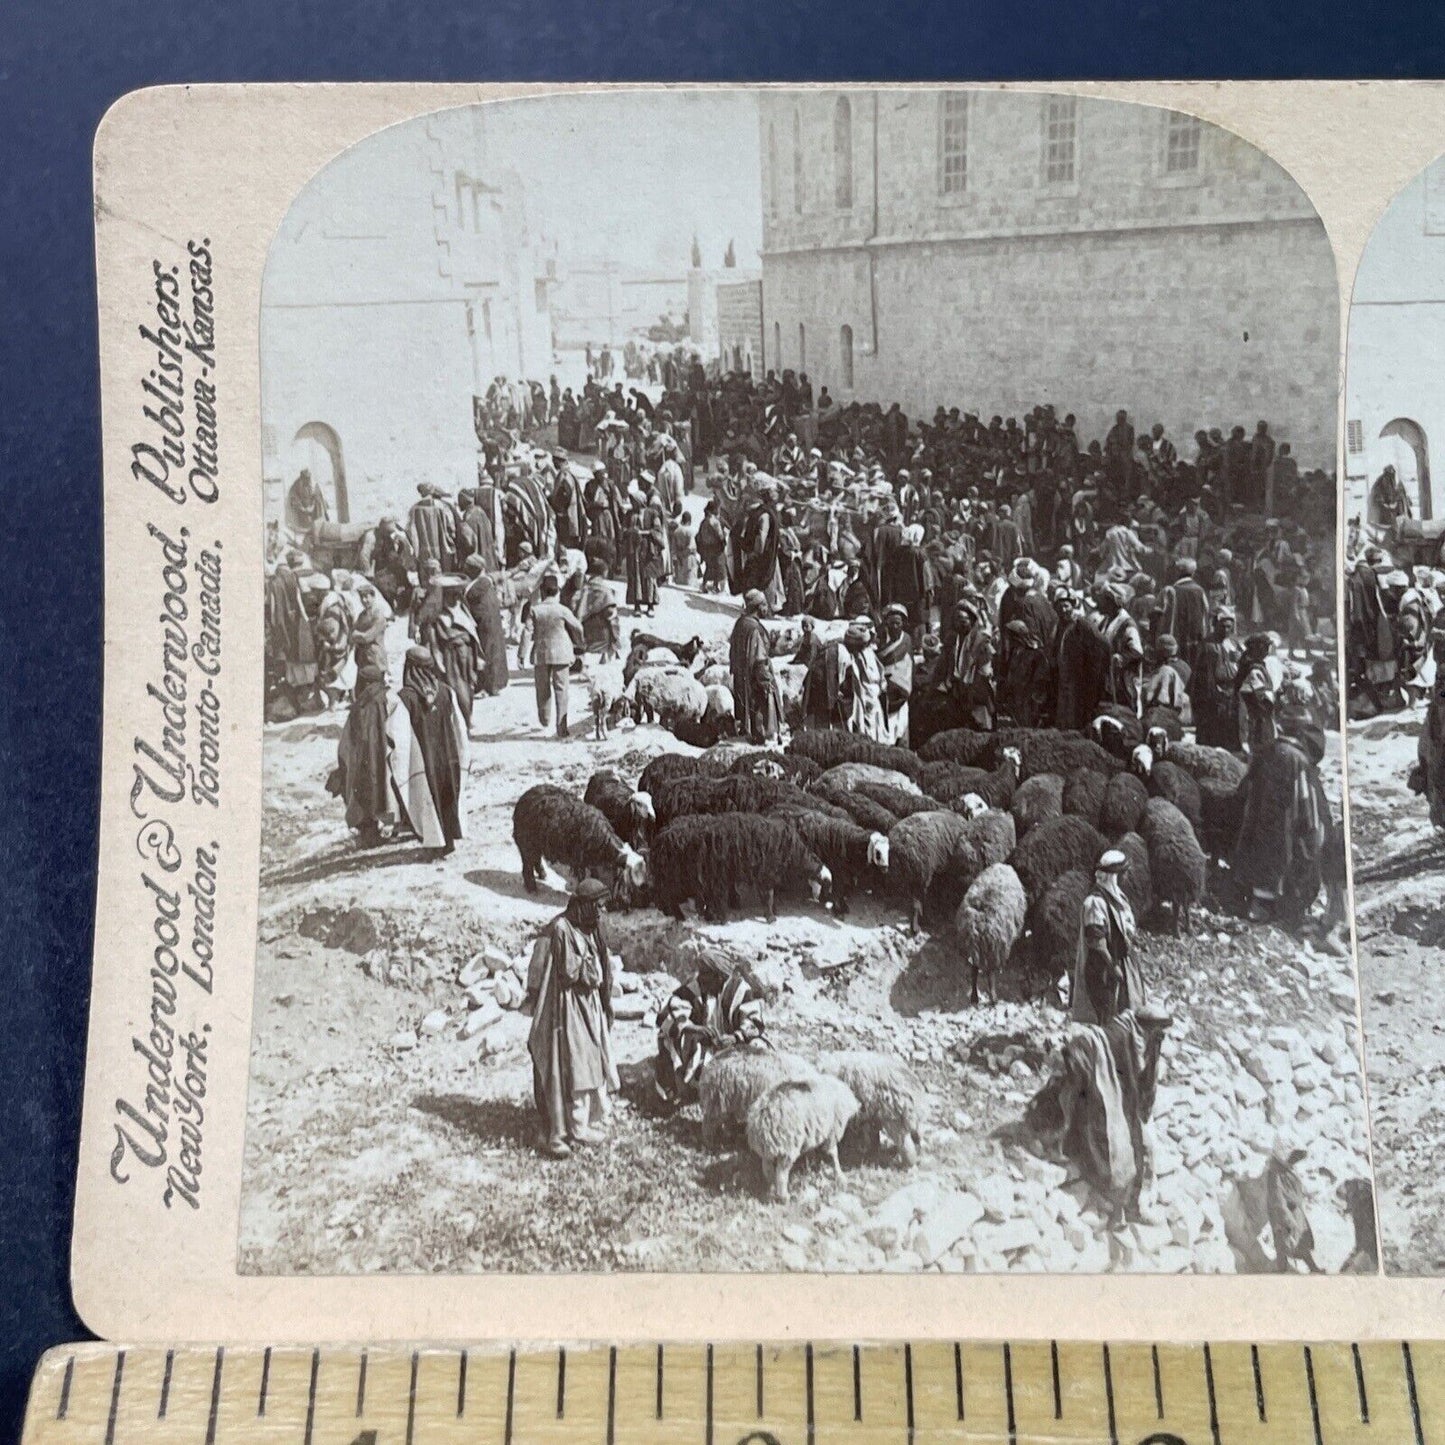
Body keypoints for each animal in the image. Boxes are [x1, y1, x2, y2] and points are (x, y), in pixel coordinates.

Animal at [511, 786, 641, 895]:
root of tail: (522, 800)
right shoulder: (580, 859)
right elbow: (582, 875)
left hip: (536, 845)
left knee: (536, 860)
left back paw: (544, 876)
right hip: (526, 842)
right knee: (527, 864)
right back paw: (533, 889)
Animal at [650, 814, 832, 924]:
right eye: (826, 885)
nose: (824, 901)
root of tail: (662, 836)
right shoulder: (765, 874)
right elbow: (768, 896)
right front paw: (771, 916)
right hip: (678, 876)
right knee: (670, 896)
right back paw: (683, 916)